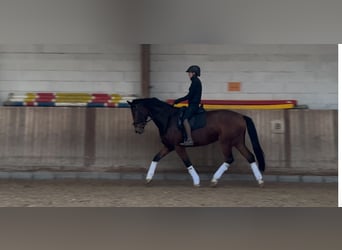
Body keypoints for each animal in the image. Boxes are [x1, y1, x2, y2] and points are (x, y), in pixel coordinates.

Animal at [127, 97, 264, 188]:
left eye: (136, 111)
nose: (138, 129)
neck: (168, 119)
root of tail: (241, 116)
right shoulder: (169, 146)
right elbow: (156, 158)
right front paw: (148, 178)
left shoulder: (178, 146)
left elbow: (187, 162)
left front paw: (197, 181)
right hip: (237, 142)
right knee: (250, 157)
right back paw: (260, 180)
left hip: (225, 142)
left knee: (229, 158)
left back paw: (214, 180)